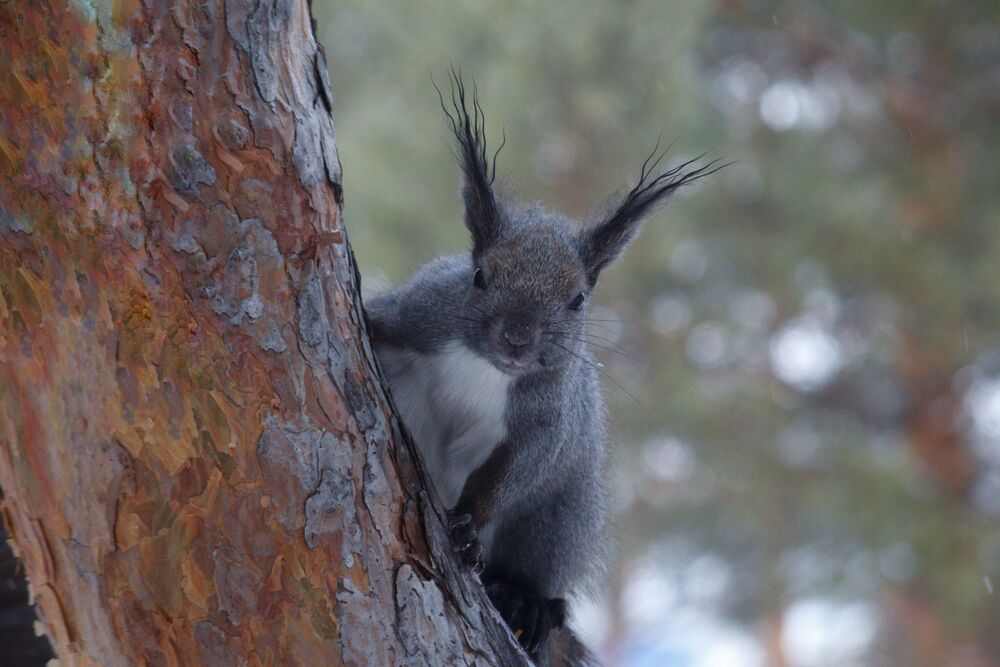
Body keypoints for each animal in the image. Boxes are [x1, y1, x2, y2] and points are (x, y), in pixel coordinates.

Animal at [365, 72, 721, 665]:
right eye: (479, 276)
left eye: (577, 299)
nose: (517, 335)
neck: (488, 368)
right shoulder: (417, 316)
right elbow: (377, 320)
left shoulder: (548, 414)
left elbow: (519, 467)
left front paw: (467, 525)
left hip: (555, 518)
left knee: (538, 570)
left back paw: (525, 601)